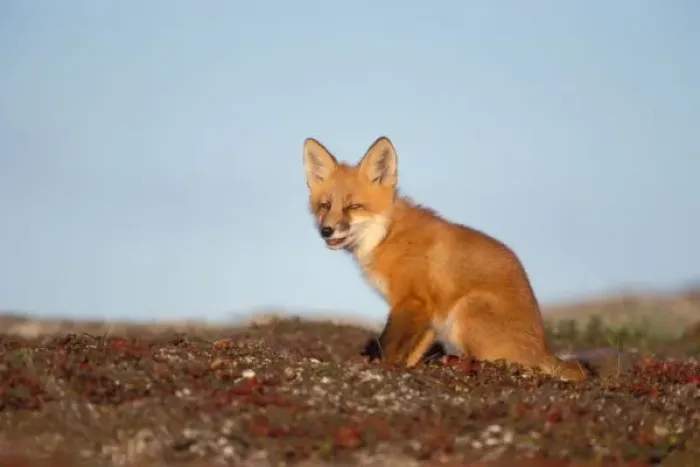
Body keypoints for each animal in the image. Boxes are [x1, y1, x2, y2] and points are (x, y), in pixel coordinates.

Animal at [301, 136, 589, 381]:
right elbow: (411, 354)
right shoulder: (430, 313)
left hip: (467, 310)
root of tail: (542, 348)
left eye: (353, 207)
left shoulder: (411, 301)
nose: (326, 230)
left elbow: (389, 347)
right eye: (325, 205)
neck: (387, 235)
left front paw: (379, 368)